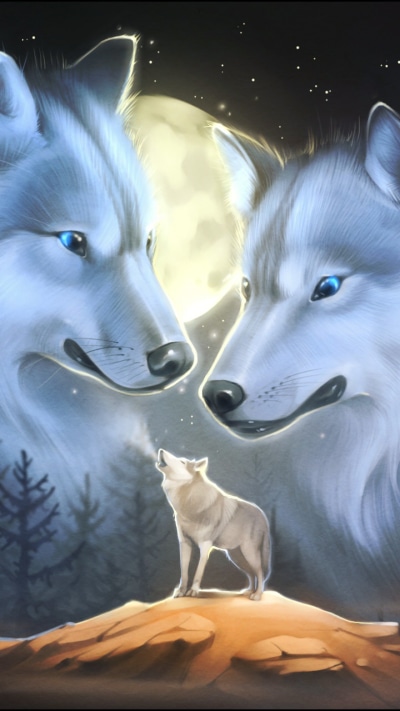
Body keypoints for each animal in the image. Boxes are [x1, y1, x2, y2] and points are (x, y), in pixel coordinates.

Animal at [156, 448, 271, 600]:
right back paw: (248, 591)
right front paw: (181, 592)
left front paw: (193, 591)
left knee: (260, 572)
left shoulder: (205, 545)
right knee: (251, 573)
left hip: (249, 553)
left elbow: (198, 572)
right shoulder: (185, 544)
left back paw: (257, 595)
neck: (190, 504)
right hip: (237, 557)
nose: (161, 450)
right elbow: (184, 573)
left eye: (182, 461)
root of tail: (263, 516)